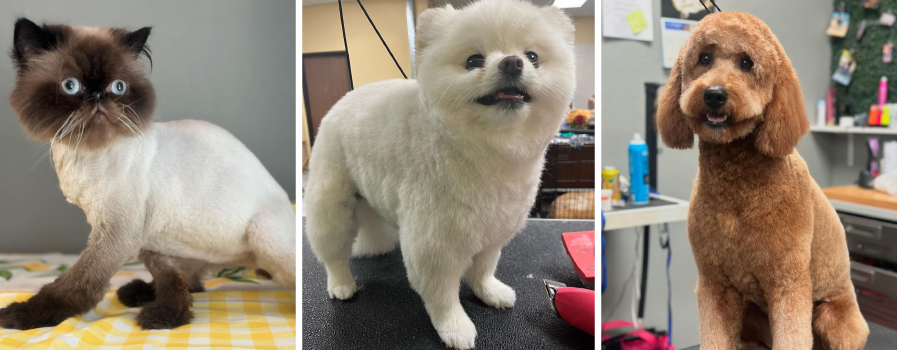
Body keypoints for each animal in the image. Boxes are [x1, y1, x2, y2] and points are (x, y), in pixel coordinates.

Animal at [0, 18, 296, 330]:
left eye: (118, 86)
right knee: (188, 280)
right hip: (159, 237)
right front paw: (165, 313)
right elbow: (169, 278)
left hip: (263, 241)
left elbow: (73, 284)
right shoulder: (130, 232)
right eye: (71, 85)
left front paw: (20, 315)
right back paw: (144, 298)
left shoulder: (116, 234)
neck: (85, 153)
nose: (98, 97)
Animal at [306, 0, 576, 348]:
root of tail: (344, 99)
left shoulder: (494, 228)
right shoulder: (435, 244)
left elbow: (483, 269)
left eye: (532, 57)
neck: (487, 154)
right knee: (333, 249)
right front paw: (455, 327)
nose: (512, 62)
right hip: (332, 202)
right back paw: (341, 283)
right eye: (474, 61)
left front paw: (489, 292)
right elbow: (442, 294)